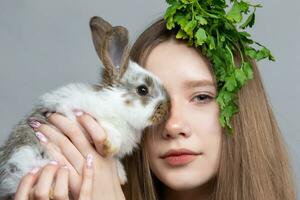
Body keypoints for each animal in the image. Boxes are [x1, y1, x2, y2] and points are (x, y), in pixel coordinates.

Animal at [0, 16, 169, 198]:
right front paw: (109, 146)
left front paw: (121, 176)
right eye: (142, 90)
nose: (167, 109)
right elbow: (110, 134)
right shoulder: (83, 115)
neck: (115, 105)